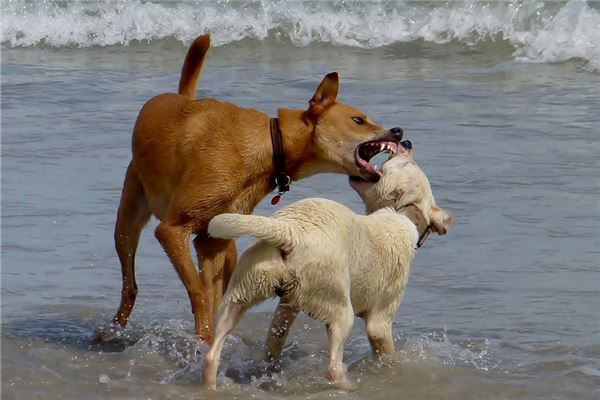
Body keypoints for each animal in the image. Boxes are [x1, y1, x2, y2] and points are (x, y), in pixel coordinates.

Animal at [102, 34, 404, 342]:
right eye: (358, 120)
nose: (398, 131)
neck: (270, 145)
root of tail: (181, 98)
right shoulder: (172, 230)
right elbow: (199, 290)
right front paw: (202, 339)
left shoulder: (210, 241)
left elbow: (212, 294)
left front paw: (208, 341)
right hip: (127, 224)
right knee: (130, 285)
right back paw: (110, 331)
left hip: (228, 242)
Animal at [202, 139, 450, 390]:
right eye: (411, 163)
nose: (407, 142)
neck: (402, 214)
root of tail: (290, 232)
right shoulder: (380, 321)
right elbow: (386, 353)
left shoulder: (289, 304)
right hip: (339, 308)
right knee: (332, 368)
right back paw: (348, 385)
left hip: (243, 289)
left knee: (215, 354)